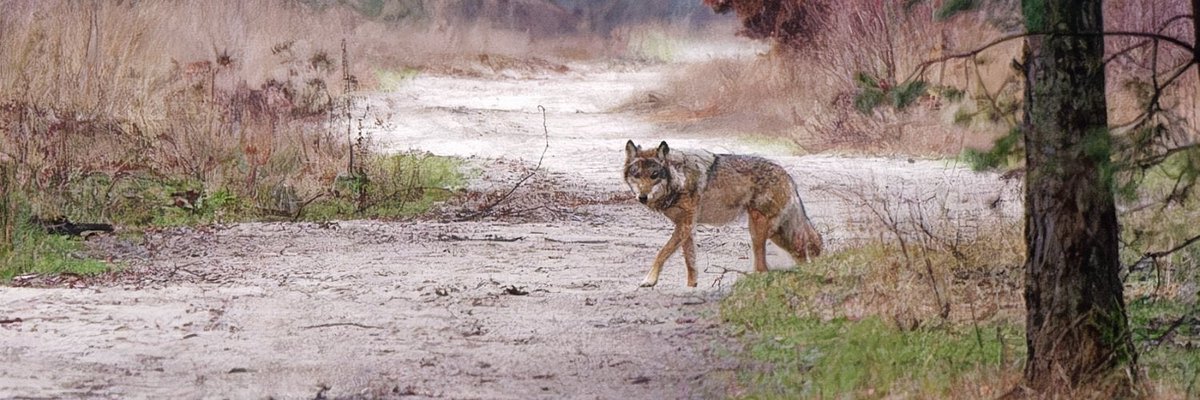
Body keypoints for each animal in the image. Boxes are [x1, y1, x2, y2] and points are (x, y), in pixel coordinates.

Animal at [623, 140, 823, 287]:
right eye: (637, 175)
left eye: (654, 175)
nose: (642, 197)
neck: (680, 179)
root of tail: (786, 174)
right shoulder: (686, 228)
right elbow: (690, 262)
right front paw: (691, 287)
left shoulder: (685, 224)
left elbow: (662, 252)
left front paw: (649, 280)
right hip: (775, 233)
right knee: (799, 252)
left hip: (760, 230)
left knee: (766, 266)